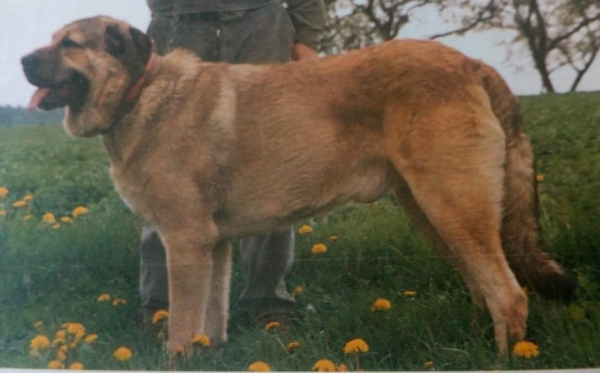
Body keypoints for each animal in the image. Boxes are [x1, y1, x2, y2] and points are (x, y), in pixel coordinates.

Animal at [23, 16, 576, 354]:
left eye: (70, 45)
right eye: (52, 40)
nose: (24, 62)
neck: (139, 94)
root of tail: (473, 65)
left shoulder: (184, 241)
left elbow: (181, 325)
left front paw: (178, 357)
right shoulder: (212, 244)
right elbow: (210, 319)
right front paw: (209, 354)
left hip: (453, 207)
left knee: (509, 294)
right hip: (435, 214)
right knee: (487, 289)